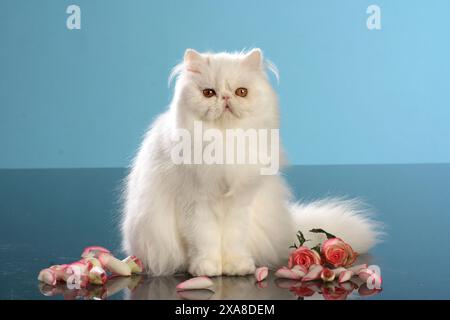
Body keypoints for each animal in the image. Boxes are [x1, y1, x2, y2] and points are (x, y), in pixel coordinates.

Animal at [120, 48, 380, 276]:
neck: (224, 142)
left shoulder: (241, 202)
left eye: (241, 92)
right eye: (209, 93)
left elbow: (234, 240)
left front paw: (236, 267)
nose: (225, 97)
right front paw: (207, 268)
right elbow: (204, 241)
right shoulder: (196, 203)